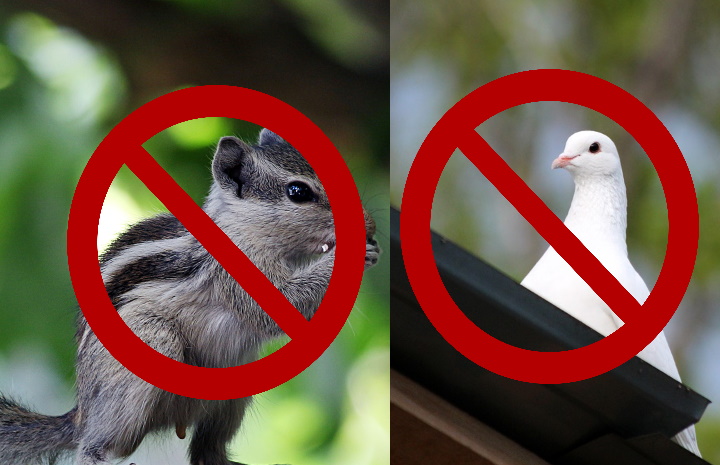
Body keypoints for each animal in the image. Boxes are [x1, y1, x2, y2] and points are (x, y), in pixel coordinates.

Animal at [0, 129, 381, 465]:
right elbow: (277, 306)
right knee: (93, 446)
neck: (242, 228)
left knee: (205, 451)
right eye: (298, 191)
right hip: (149, 345)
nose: (370, 226)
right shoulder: (237, 270)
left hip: (233, 392)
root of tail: (81, 411)